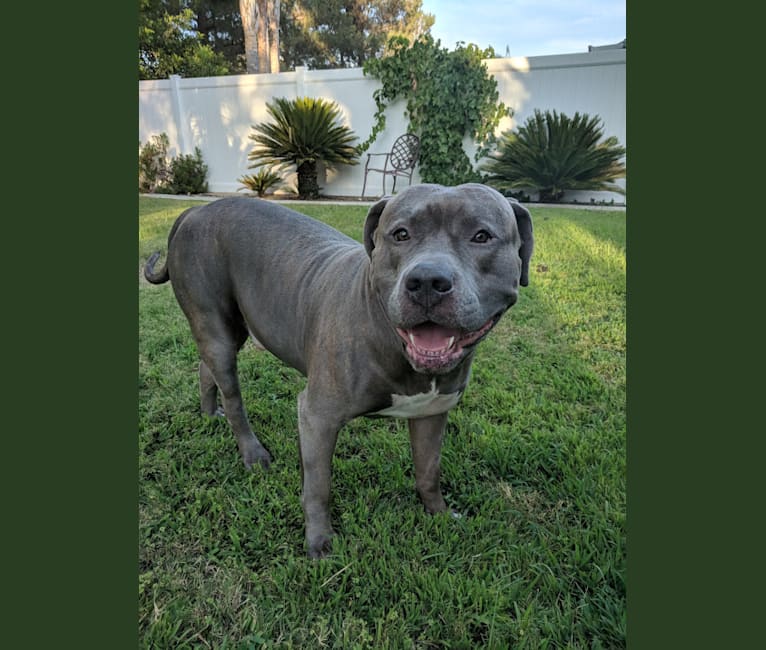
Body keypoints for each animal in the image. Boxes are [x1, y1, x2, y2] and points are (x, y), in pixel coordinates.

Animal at [144, 184, 536, 556]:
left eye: (482, 236)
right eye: (401, 234)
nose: (426, 281)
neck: (389, 336)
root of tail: (194, 211)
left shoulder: (432, 413)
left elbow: (428, 471)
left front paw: (438, 513)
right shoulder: (318, 416)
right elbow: (319, 486)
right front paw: (319, 541)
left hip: (229, 329)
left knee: (205, 367)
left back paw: (210, 413)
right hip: (216, 327)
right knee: (233, 396)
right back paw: (252, 452)